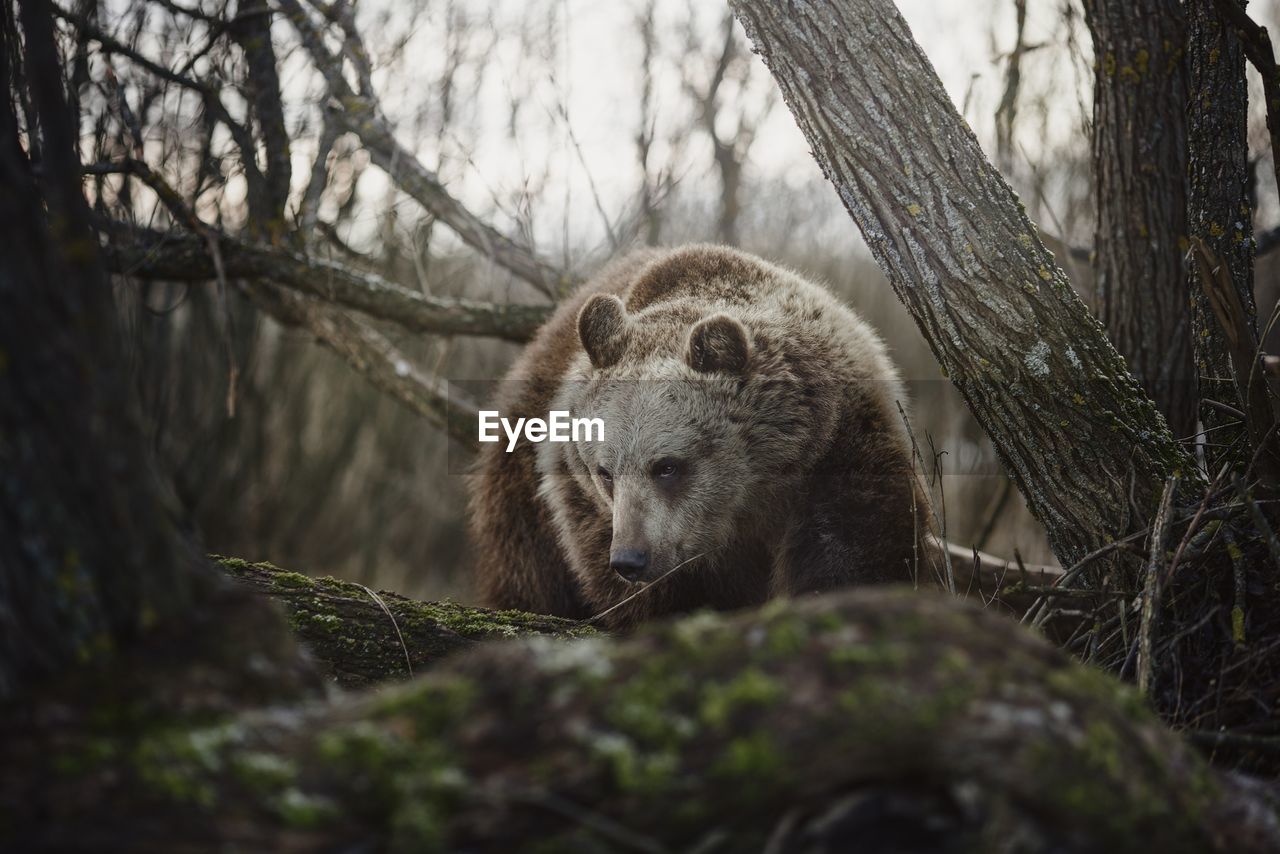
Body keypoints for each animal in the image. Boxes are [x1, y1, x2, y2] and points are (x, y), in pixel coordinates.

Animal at [465, 241, 926, 627]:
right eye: (604, 472)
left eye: (667, 466)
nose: (630, 559)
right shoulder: (583, 502)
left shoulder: (839, 443)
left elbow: (856, 546)